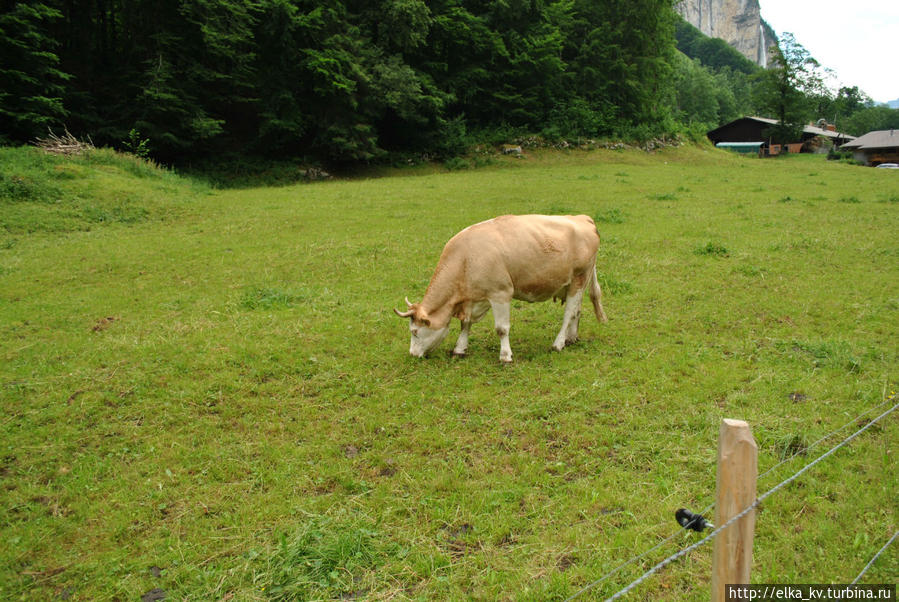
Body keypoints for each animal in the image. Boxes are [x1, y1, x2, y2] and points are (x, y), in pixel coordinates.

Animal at [398, 213, 608, 360]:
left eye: (414, 331)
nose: (412, 354)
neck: (466, 257)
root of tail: (582, 218)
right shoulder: (472, 298)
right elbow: (465, 324)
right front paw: (459, 349)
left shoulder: (500, 293)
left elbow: (501, 328)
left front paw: (505, 356)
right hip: (577, 282)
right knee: (577, 311)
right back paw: (571, 338)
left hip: (579, 278)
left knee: (569, 313)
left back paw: (558, 343)